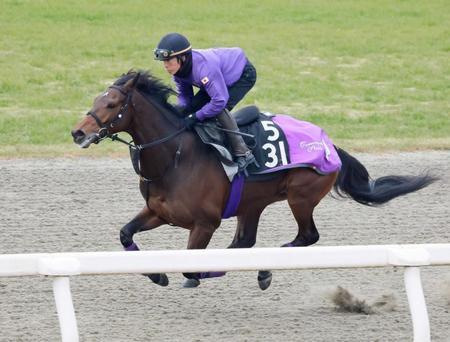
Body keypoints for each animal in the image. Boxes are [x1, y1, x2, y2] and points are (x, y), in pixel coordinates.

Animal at [72, 71, 438, 290]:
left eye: (112, 103)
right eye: (95, 100)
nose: (78, 132)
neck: (175, 156)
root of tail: (329, 143)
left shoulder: (204, 224)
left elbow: (191, 267)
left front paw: (188, 276)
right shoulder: (159, 212)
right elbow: (126, 234)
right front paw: (157, 273)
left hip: (300, 196)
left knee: (307, 236)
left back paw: (266, 270)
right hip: (253, 203)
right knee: (245, 243)